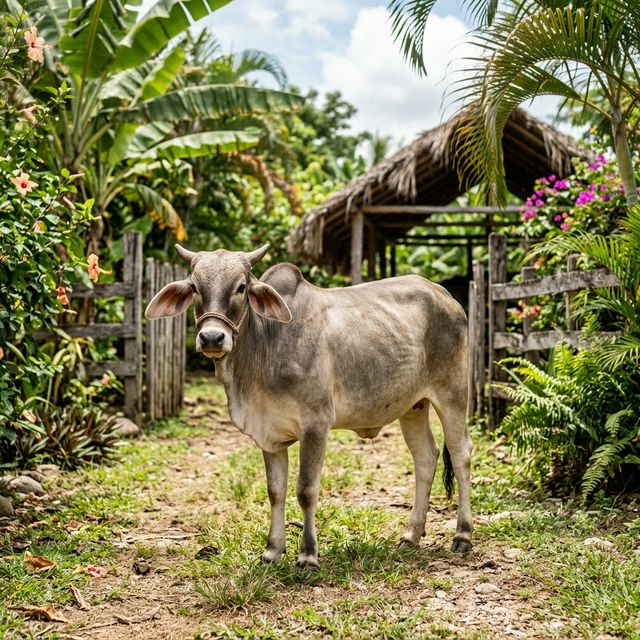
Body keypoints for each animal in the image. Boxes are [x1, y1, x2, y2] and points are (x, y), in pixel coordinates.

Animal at [145, 244, 472, 570]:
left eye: (241, 287)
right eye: (195, 287)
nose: (212, 337)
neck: (267, 346)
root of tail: (444, 294)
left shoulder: (315, 425)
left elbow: (306, 490)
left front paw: (308, 556)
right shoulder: (270, 434)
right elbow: (275, 492)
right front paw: (272, 551)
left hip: (453, 395)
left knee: (461, 455)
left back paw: (463, 536)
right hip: (413, 406)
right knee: (426, 457)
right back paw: (411, 535)